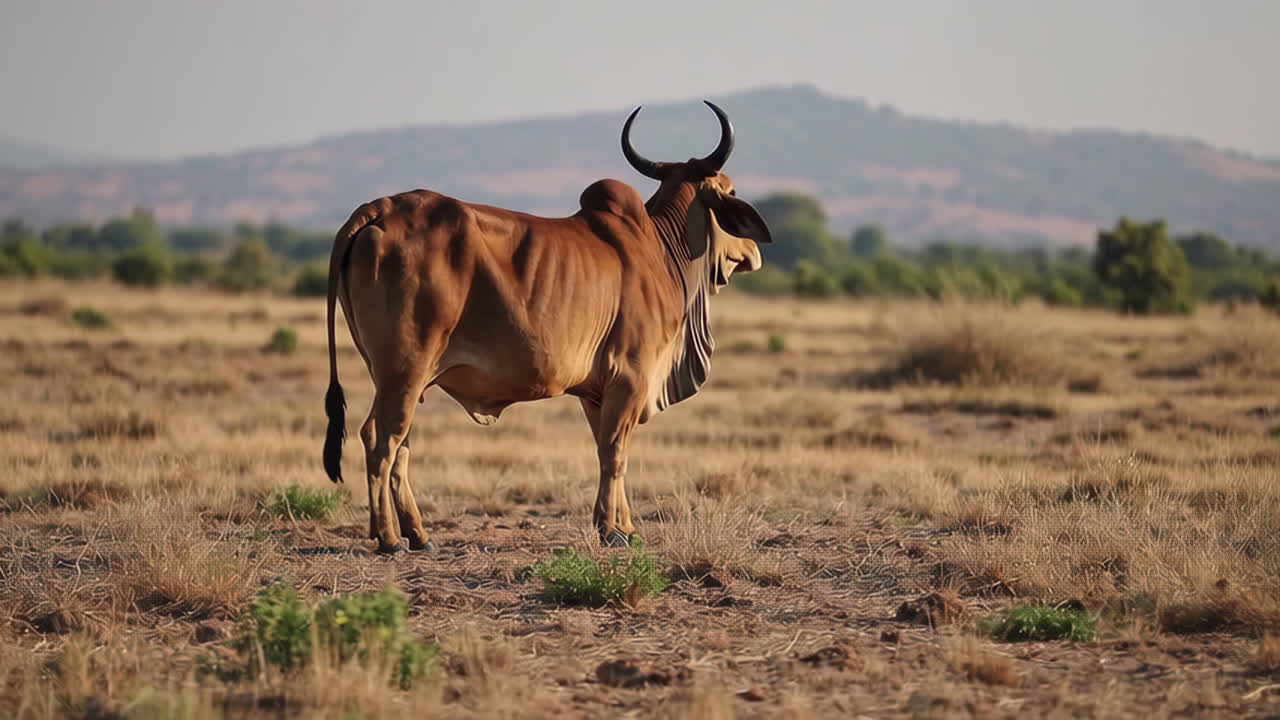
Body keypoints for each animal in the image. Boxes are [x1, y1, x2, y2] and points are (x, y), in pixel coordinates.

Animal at [323, 101, 772, 553]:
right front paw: (611, 530)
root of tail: (380, 209)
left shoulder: (597, 391)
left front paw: (624, 526)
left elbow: (608, 450)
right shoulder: (631, 377)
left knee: (400, 445)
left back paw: (417, 533)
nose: (753, 251)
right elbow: (615, 452)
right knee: (380, 439)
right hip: (407, 370)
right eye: (732, 193)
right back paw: (389, 537)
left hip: (395, 377)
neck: (663, 250)